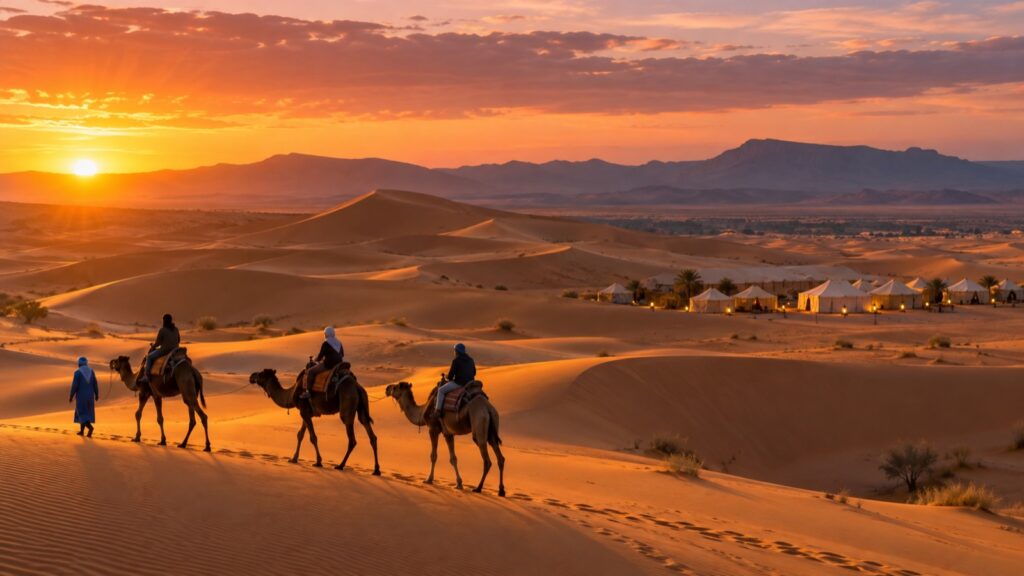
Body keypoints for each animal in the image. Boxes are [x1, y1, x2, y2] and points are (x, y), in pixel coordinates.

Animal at [248, 368, 380, 475]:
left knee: (352, 439)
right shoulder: (306, 412)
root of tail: (357, 387)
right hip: (362, 407)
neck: (292, 393)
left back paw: (340, 465)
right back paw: (376, 470)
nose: (251, 376)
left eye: (261, 374)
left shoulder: (304, 411)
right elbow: (300, 435)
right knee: (371, 434)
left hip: (347, 406)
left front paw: (318, 461)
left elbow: (312, 437)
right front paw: (293, 458)